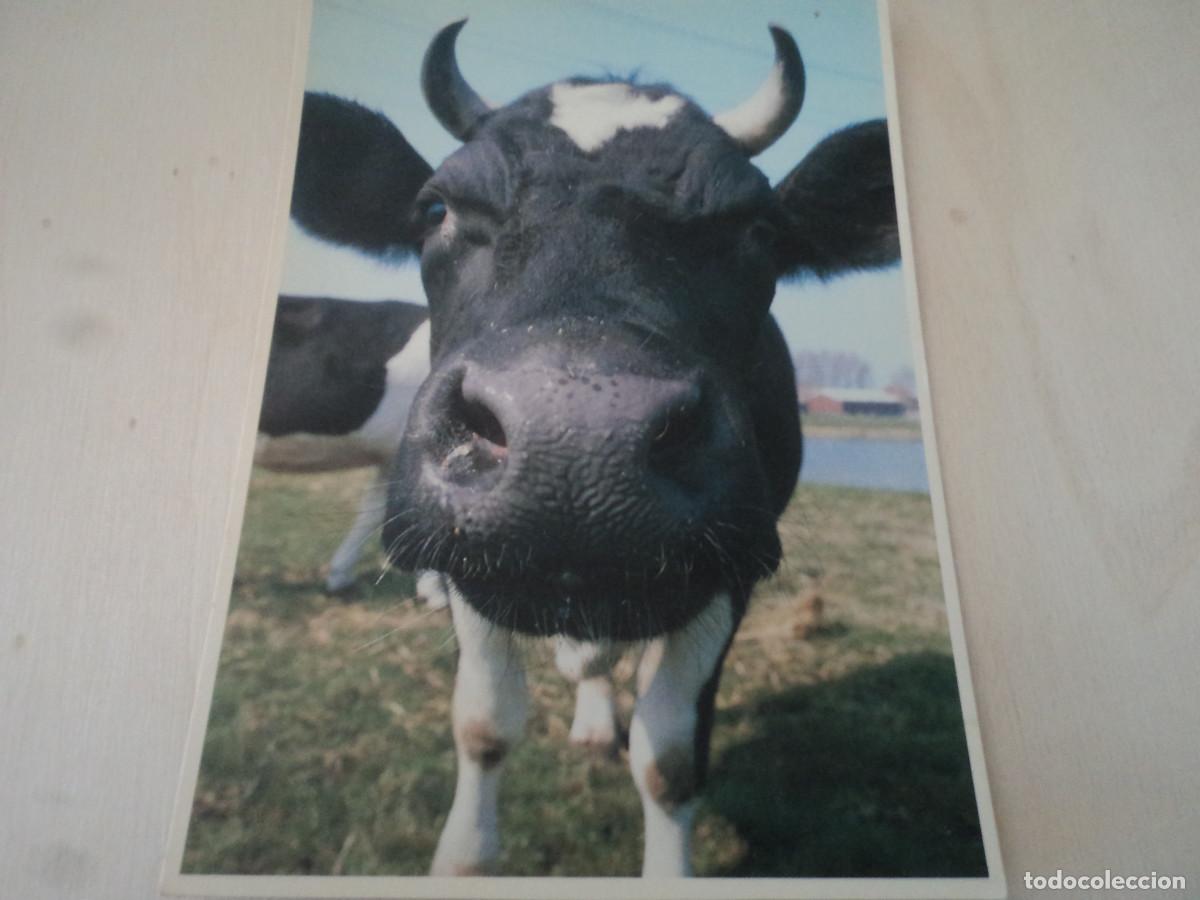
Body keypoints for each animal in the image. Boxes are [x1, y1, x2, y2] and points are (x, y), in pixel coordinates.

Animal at [288, 20, 899, 877]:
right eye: (436, 208)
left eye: (761, 231)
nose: (575, 443)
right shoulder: (462, 555)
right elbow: (483, 725)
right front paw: (465, 855)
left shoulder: (732, 569)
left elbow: (670, 759)